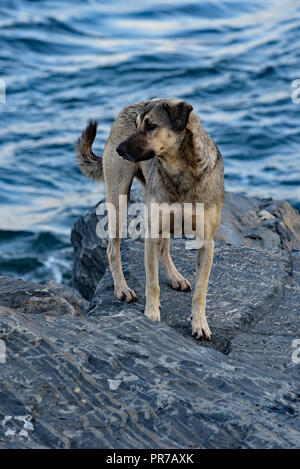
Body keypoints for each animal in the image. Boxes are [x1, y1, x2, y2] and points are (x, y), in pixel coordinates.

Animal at [76, 99, 224, 340]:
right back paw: (122, 289)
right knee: (112, 249)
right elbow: (152, 282)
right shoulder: (151, 234)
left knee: (164, 247)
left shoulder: (206, 243)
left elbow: (200, 292)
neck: (181, 170)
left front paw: (200, 324)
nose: (119, 150)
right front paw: (151, 314)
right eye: (137, 125)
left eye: (151, 125)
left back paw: (174, 277)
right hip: (119, 200)